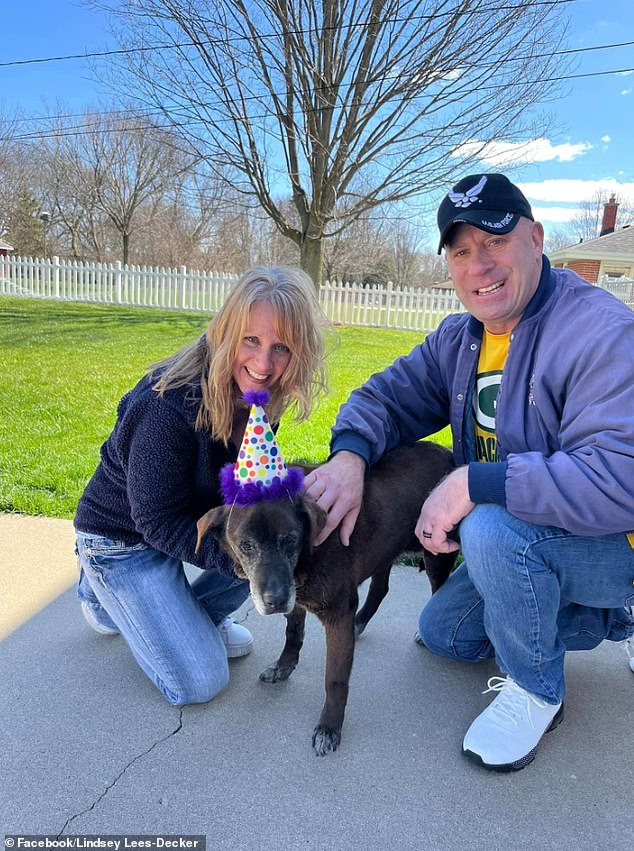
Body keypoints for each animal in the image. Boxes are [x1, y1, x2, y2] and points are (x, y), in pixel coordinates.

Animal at [196, 442, 454, 756]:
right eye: (246, 545)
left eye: (290, 539)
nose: (275, 601)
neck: (308, 553)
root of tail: (446, 452)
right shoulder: (296, 598)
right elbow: (293, 634)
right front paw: (283, 666)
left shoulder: (337, 614)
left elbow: (335, 679)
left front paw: (329, 728)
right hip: (385, 550)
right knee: (380, 588)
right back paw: (361, 622)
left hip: (437, 551)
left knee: (438, 590)